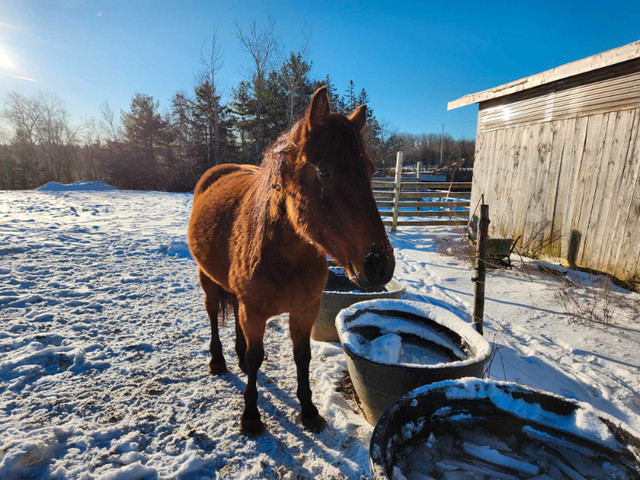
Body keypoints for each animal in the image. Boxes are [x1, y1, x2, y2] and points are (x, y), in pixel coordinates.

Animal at [186, 86, 396, 436]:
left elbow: (302, 357)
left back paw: (237, 356)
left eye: (369, 172)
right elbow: (257, 357)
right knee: (214, 313)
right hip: (208, 279)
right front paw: (251, 415)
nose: (379, 264)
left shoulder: (304, 310)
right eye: (324, 170)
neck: (284, 255)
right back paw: (218, 361)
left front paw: (309, 410)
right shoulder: (255, 311)